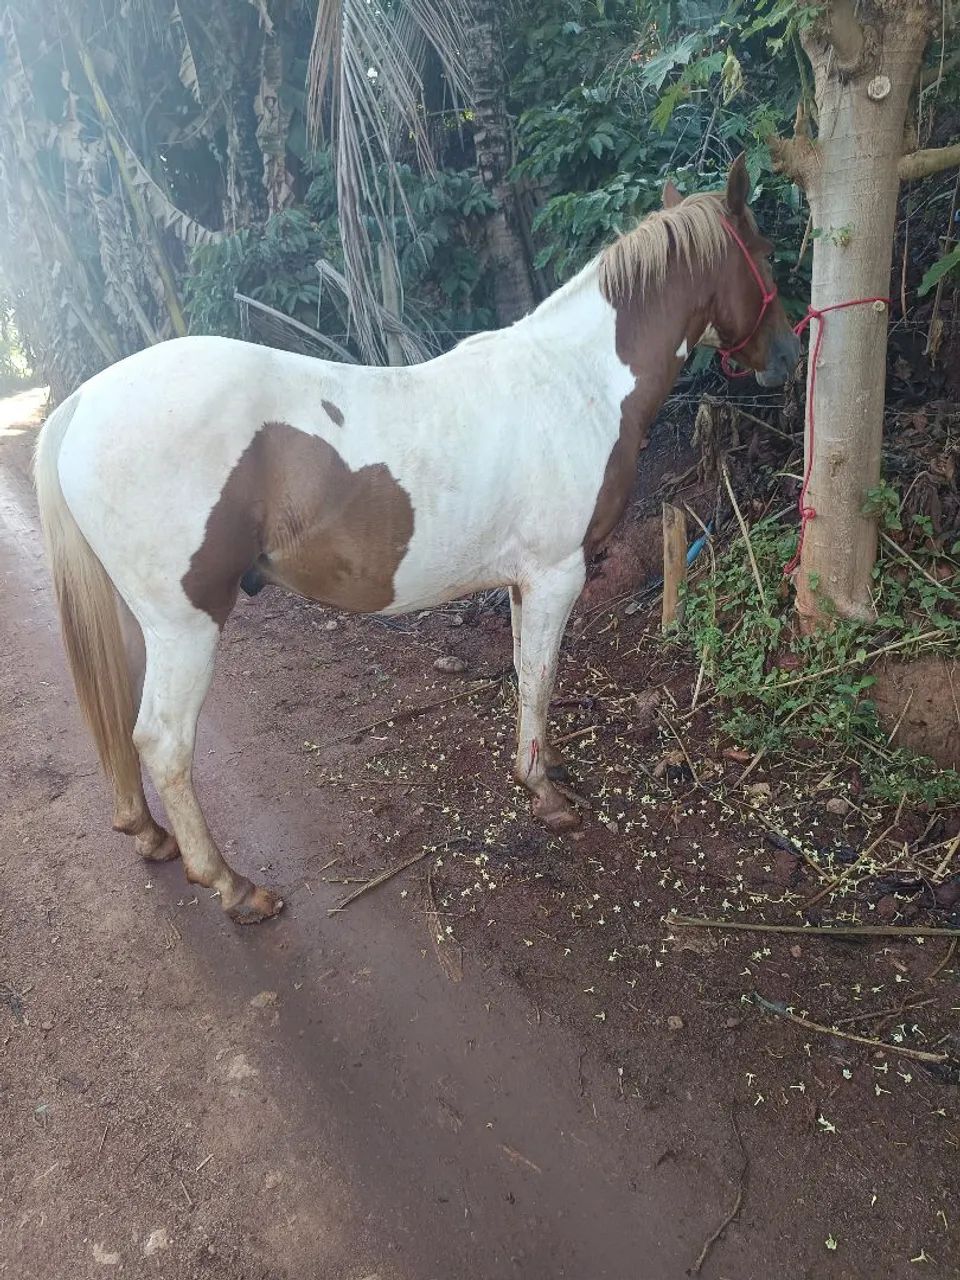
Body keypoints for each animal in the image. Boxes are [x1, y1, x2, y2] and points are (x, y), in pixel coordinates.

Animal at [34, 154, 799, 925]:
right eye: (765, 253)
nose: (788, 356)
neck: (573, 382)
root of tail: (84, 400)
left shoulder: (523, 581)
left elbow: (526, 672)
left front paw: (543, 766)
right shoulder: (557, 574)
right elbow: (542, 677)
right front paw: (544, 793)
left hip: (141, 622)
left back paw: (149, 834)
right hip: (186, 625)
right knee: (162, 741)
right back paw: (232, 885)